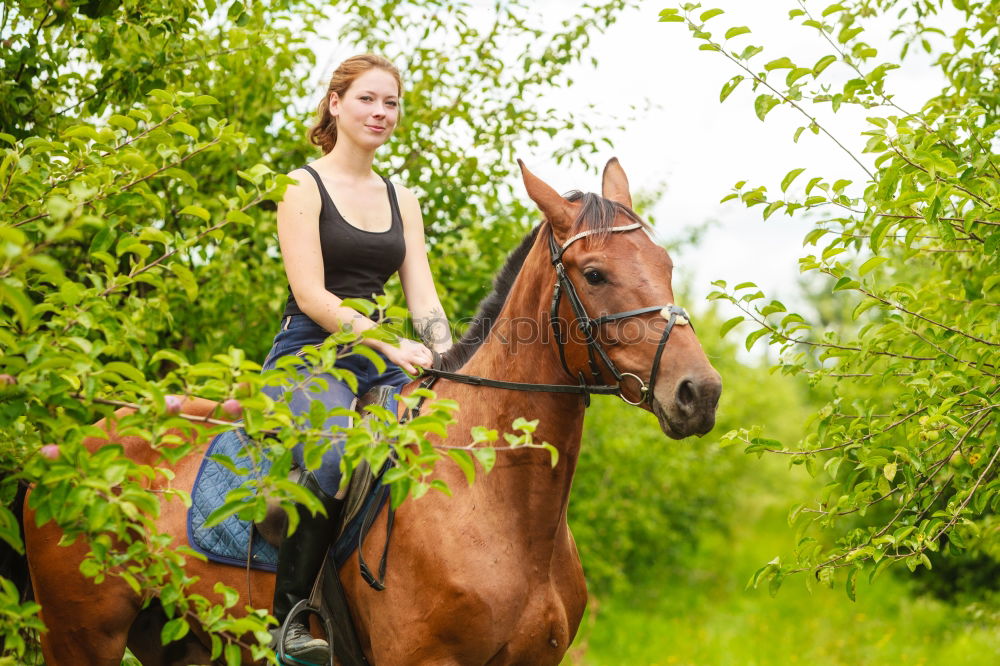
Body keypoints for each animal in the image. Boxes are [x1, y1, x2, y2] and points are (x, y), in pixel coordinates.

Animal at [17, 158, 720, 660]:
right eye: (595, 274)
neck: (494, 500)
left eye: (666, 262)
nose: (700, 393)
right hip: (80, 637)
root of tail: (66, 451)